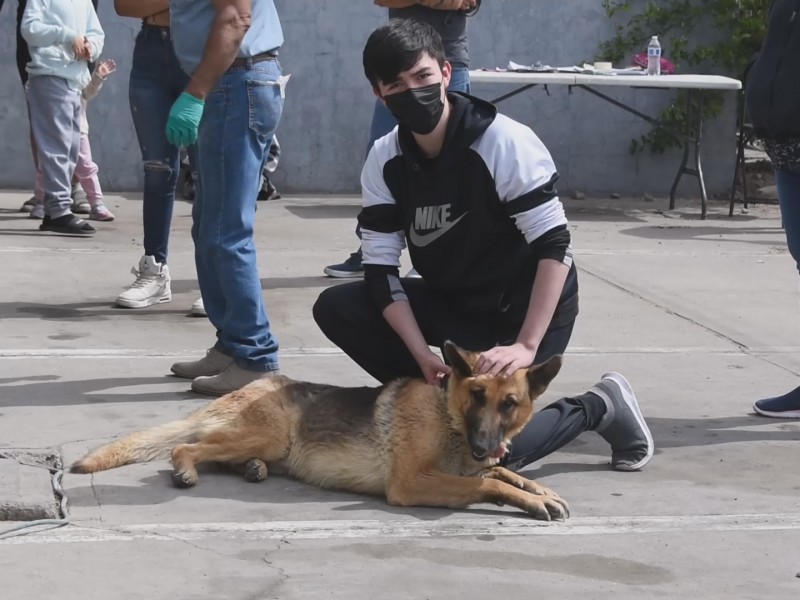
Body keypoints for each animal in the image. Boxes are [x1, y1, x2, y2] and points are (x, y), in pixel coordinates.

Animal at [70, 342, 568, 520]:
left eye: (509, 404)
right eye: (476, 396)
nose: (485, 447)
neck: (447, 417)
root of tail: (254, 384)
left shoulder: (464, 468)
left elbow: (501, 474)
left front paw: (538, 489)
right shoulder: (411, 484)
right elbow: (488, 483)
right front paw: (529, 500)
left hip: (266, 444)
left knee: (217, 452)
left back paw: (252, 470)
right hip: (269, 435)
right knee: (187, 447)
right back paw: (187, 470)